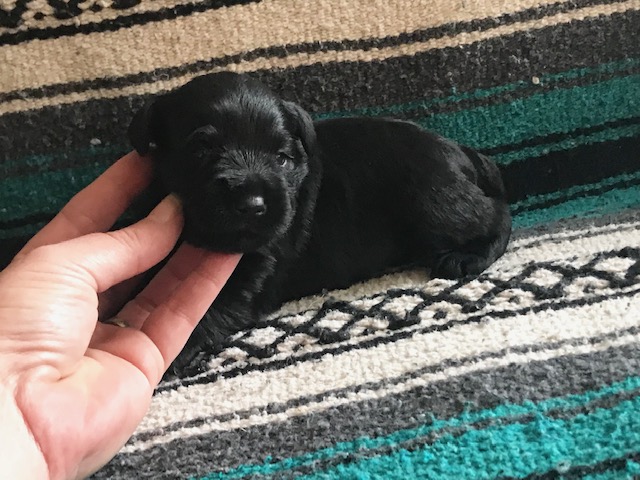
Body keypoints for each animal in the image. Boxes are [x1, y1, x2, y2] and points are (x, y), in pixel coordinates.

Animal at [128, 72, 512, 375]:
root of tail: (463, 152)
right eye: (200, 152)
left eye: (281, 158)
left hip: (436, 203)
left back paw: (468, 256)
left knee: (496, 213)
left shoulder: (256, 268)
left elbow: (209, 308)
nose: (253, 206)